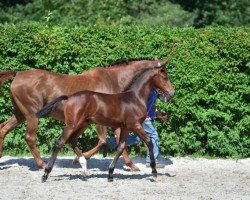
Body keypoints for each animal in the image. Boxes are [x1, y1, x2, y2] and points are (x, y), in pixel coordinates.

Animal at [0, 57, 169, 170]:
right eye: (165, 76)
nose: (171, 94)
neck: (112, 79)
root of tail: (18, 74)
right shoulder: (101, 121)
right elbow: (103, 141)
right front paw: (79, 159)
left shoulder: (117, 120)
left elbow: (119, 140)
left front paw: (132, 165)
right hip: (31, 115)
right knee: (29, 137)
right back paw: (42, 164)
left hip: (20, 114)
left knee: (3, 128)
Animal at [37, 63, 175, 182]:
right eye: (165, 77)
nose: (172, 93)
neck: (135, 98)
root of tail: (69, 97)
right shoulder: (135, 125)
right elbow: (149, 142)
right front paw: (154, 171)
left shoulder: (125, 128)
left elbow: (121, 147)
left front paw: (110, 174)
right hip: (72, 125)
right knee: (60, 142)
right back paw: (46, 173)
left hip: (83, 124)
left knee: (72, 140)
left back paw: (83, 163)